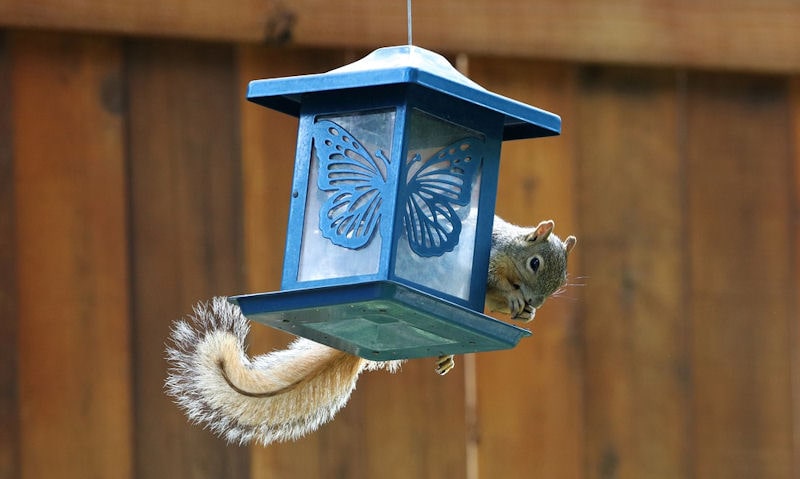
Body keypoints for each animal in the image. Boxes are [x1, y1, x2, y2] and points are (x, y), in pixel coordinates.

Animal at [164, 216, 576, 448]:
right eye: (535, 263)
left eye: (559, 284)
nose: (536, 302)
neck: (513, 256)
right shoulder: (487, 259)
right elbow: (494, 281)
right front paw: (515, 299)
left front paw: (526, 313)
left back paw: (447, 355)